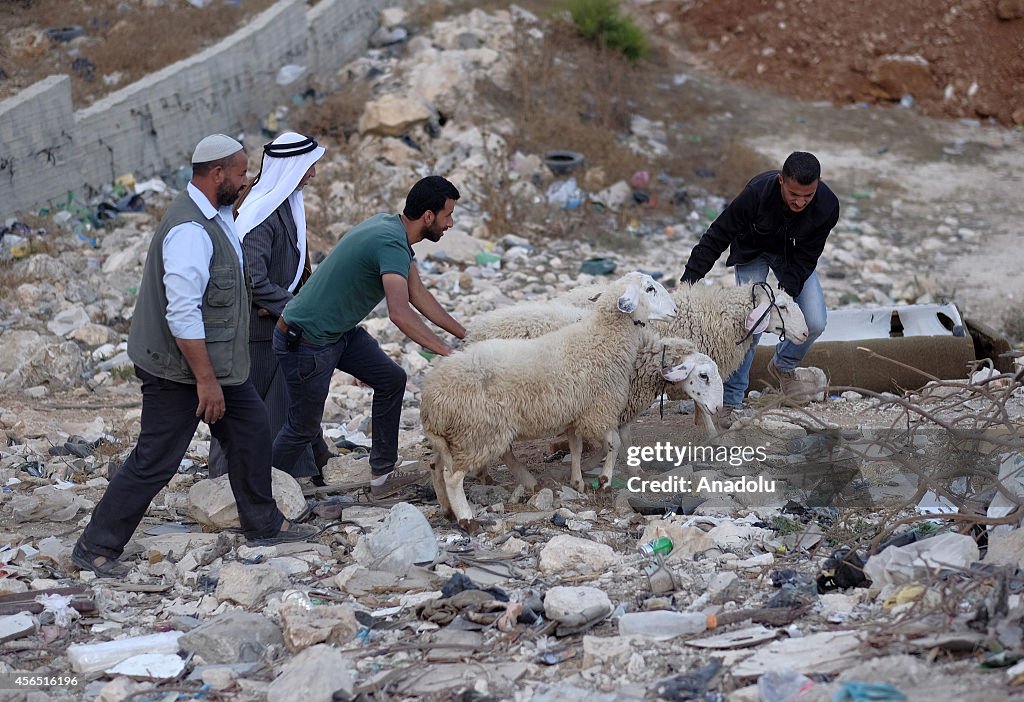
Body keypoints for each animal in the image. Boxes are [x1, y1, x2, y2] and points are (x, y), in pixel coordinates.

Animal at [419, 272, 675, 532]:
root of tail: (431, 398)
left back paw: (448, 510)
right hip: (478, 432)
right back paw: (467, 519)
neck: (601, 338)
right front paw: (604, 482)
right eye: (650, 289)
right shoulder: (598, 410)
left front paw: (577, 481)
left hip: (456, 437)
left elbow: (576, 447)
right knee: (453, 477)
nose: (674, 310)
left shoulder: (575, 412)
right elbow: (614, 443)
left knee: (437, 466)